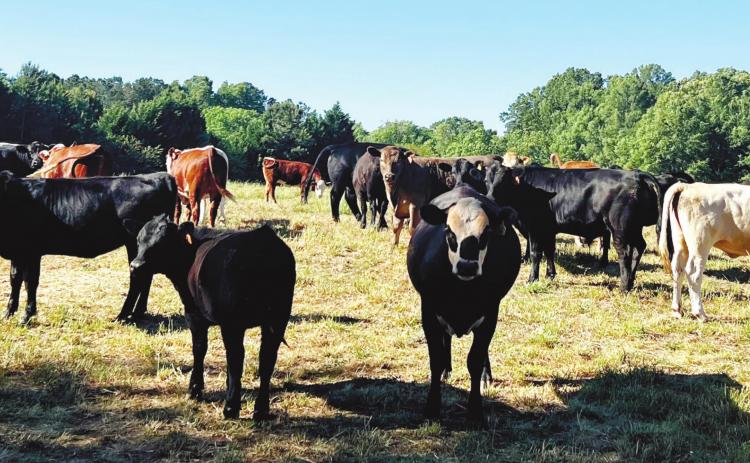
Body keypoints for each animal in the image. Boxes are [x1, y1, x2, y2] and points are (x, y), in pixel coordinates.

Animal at [0, 171, 177, 324]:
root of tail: (159, 175)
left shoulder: (32, 251)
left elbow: (30, 282)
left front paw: (26, 315)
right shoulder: (17, 251)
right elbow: (14, 278)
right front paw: (8, 313)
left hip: (135, 244)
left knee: (138, 278)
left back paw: (123, 315)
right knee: (146, 276)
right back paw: (138, 313)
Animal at [127, 215, 295, 420]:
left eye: (163, 242)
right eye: (138, 240)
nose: (135, 266)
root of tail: (262, 241)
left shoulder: (193, 314)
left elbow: (199, 349)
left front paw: (194, 389)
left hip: (233, 324)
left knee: (236, 357)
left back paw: (231, 407)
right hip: (278, 319)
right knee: (267, 358)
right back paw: (260, 409)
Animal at [407, 186, 520, 425]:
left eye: (485, 234)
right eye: (450, 232)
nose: (467, 266)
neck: (462, 293)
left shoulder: (490, 314)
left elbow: (475, 360)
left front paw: (475, 413)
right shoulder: (429, 313)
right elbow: (436, 359)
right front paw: (432, 409)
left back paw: (487, 376)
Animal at [487, 166, 661, 292]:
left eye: (503, 182)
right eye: (486, 180)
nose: (488, 199)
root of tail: (636, 175)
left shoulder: (536, 228)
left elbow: (536, 254)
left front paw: (532, 279)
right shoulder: (548, 229)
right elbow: (550, 251)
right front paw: (550, 275)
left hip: (620, 228)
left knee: (624, 253)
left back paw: (624, 287)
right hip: (634, 228)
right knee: (639, 247)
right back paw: (630, 281)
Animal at [658, 182, 750, 321]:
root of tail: (688, 186)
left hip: (681, 242)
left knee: (678, 270)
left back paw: (677, 310)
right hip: (700, 243)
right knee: (693, 274)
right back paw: (700, 313)